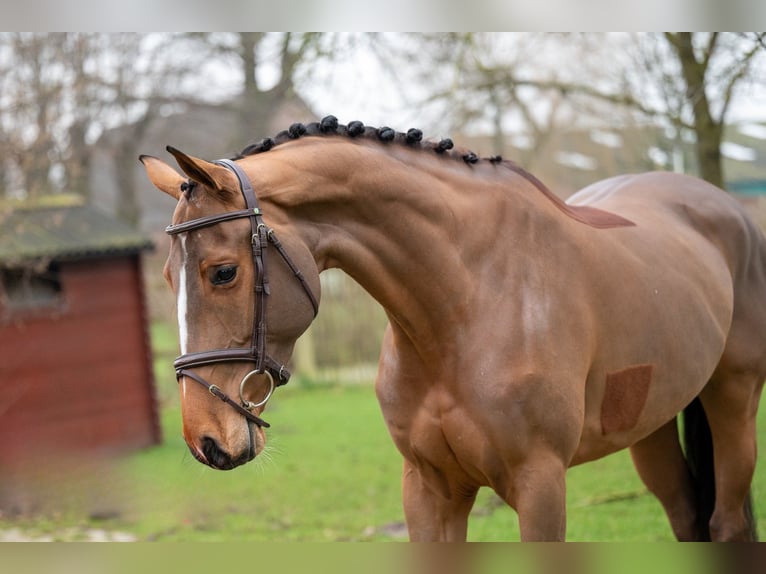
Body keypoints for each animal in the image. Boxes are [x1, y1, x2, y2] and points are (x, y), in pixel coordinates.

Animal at [140, 116, 766, 540]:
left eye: (222, 272)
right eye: (167, 276)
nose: (205, 440)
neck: (466, 305)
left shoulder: (541, 486)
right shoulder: (429, 488)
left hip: (733, 401)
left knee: (727, 523)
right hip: (649, 426)